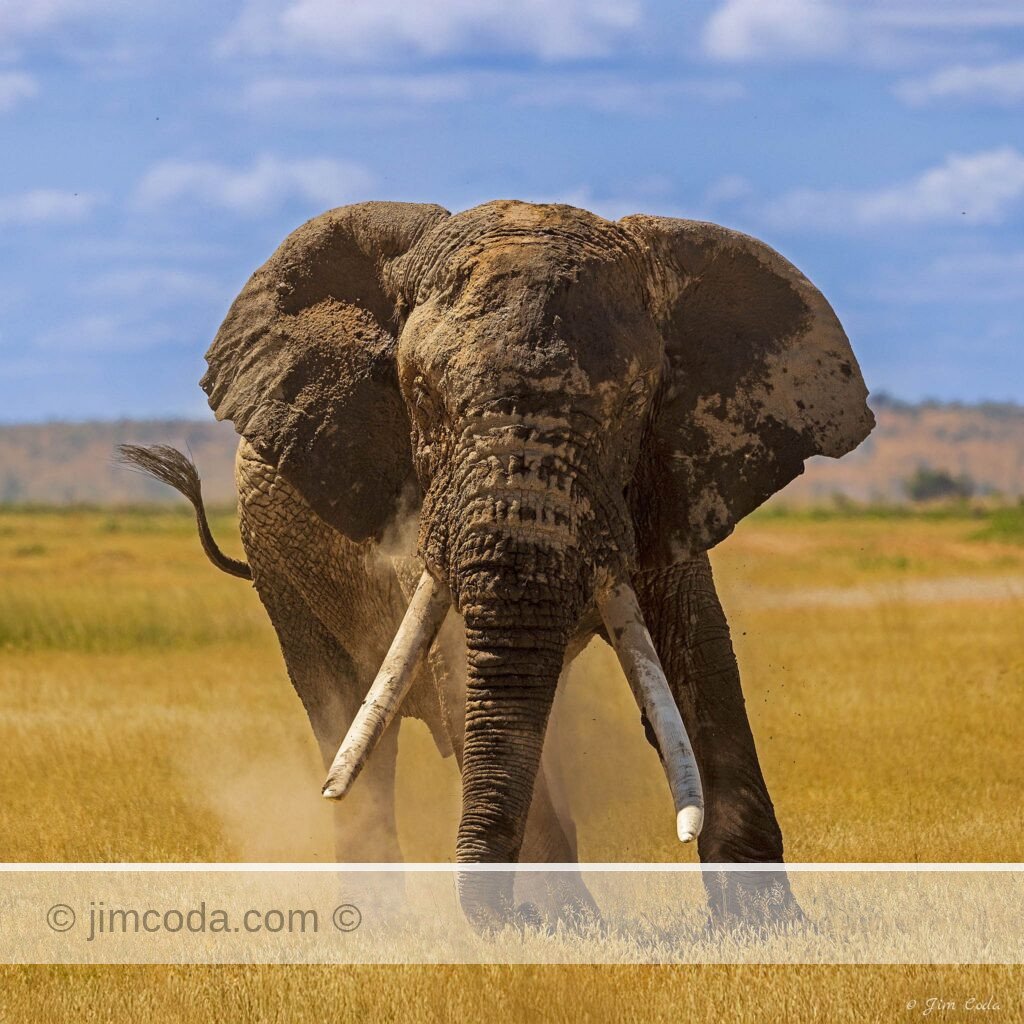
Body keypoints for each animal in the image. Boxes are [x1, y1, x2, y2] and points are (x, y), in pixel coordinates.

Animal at [121, 199, 873, 928]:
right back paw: (377, 921)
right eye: (422, 396)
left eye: (632, 404)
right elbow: (461, 671)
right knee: (348, 718)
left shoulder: (666, 485)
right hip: (280, 569)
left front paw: (770, 927)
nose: (507, 918)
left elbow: (701, 660)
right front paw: (563, 930)